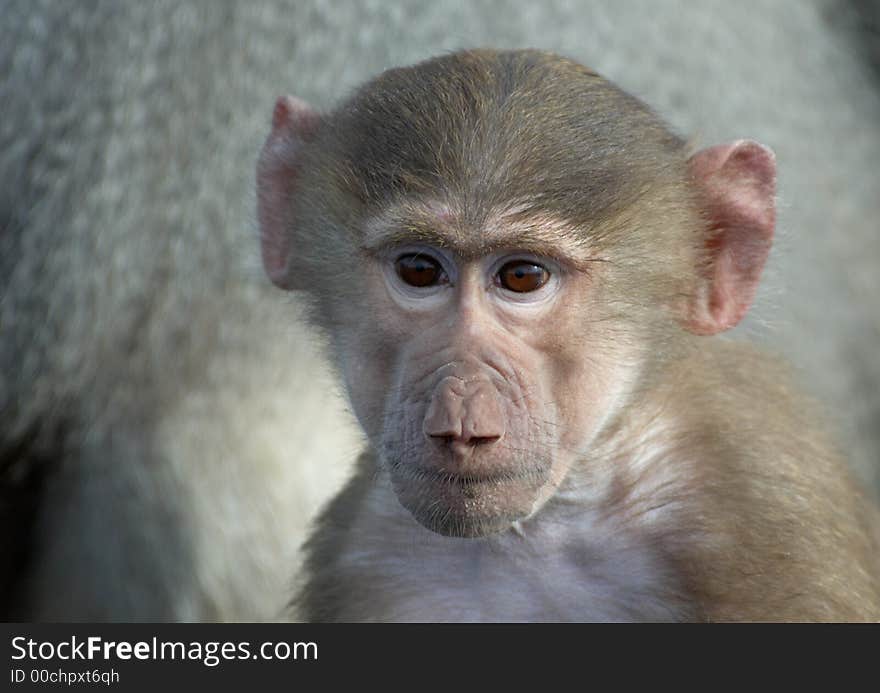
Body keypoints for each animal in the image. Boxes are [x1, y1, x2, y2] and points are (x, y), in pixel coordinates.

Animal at [254, 50, 880, 620]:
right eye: (420, 270)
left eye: (523, 277)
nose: (461, 407)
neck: (549, 522)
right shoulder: (363, 545)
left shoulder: (760, 507)